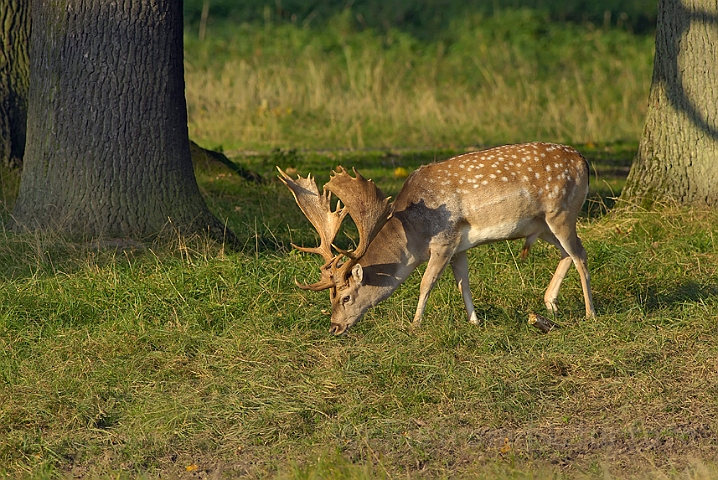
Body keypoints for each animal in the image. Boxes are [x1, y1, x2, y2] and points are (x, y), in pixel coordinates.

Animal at [278, 142, 600, 334]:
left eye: (346, 297)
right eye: (330, 297)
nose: (334, 327)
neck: (413, 237)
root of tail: (584, 161)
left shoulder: (444, 240)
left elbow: (426, 283)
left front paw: (415, 324)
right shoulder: (460, 247)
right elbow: (463, 283)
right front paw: (474, 321)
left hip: (562, 211)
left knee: (581, 254)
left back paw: (590, 313)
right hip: (543, 225)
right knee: (568, 253)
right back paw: (550, 303)